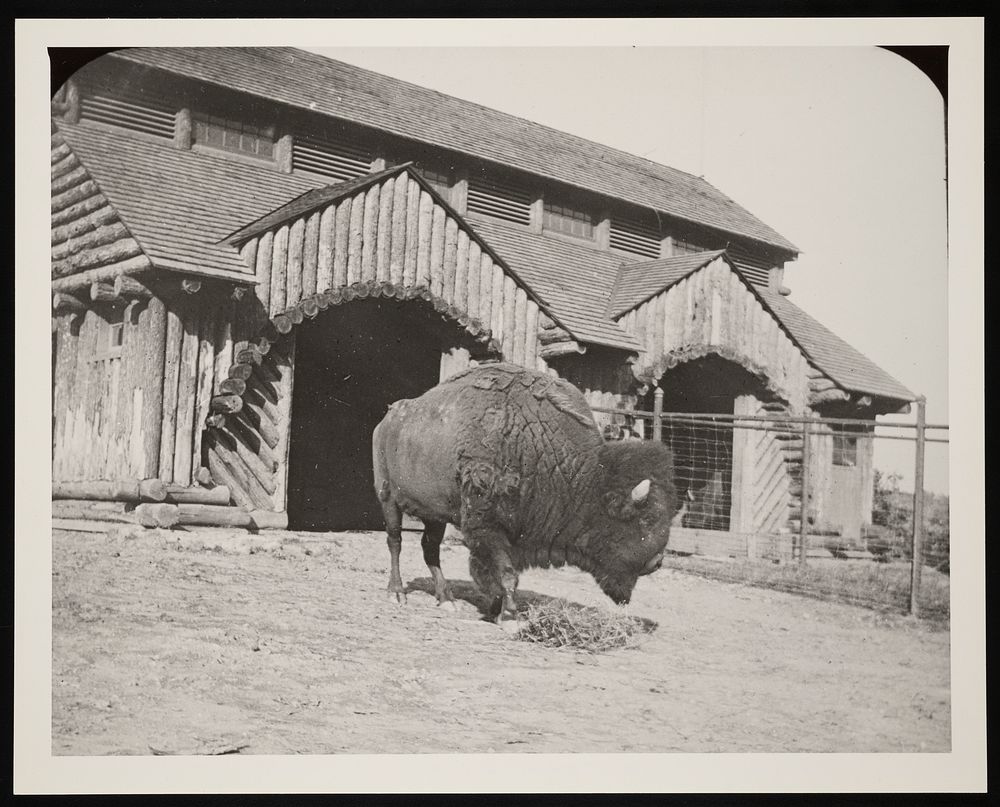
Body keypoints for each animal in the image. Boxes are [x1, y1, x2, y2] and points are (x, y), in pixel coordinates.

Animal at [376, 362, 680, 632]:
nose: (657, 562)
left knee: (430, 549)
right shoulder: (487, 528)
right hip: (388, 498)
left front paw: (497, 611)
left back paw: (446, 599)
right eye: (646, 519)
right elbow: (506, 574)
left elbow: (504, 576)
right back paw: (396, 593)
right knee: (395, 542)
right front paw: (511, 618)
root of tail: (387, 419)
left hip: (434, 515)